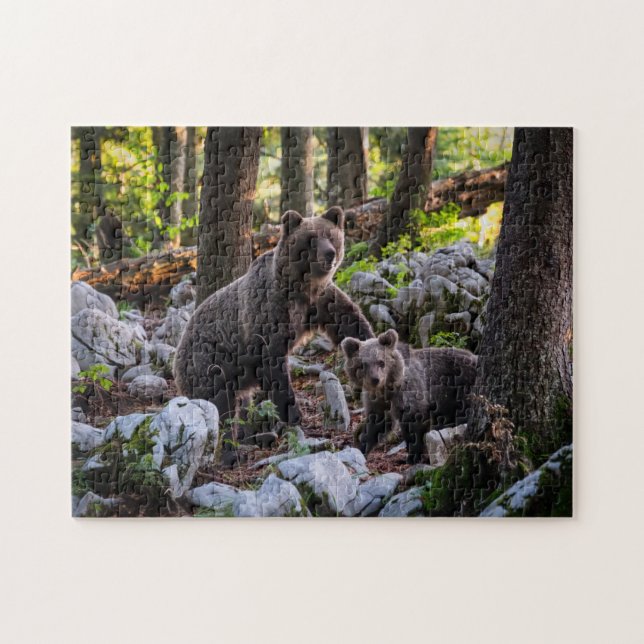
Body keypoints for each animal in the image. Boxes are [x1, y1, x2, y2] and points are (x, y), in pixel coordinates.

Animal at [174, 206, 374, 427]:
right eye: (311, 238)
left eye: (331, 236)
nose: (330, 253)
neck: (300, 288)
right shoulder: (268, 311)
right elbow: (272, 363)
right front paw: (292, 413)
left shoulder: (321, 301)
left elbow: (349, 322)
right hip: (210, 362)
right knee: (217, 401)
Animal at [341, 329, 477, 463]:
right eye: (362, 365)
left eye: (381, 362)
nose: (375, 379)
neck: (387, 389)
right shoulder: (377, 401)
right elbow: (377, 424)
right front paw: (362, 448)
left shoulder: (409, 392)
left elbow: (413, 422)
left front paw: (413, 456)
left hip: (461, 389)